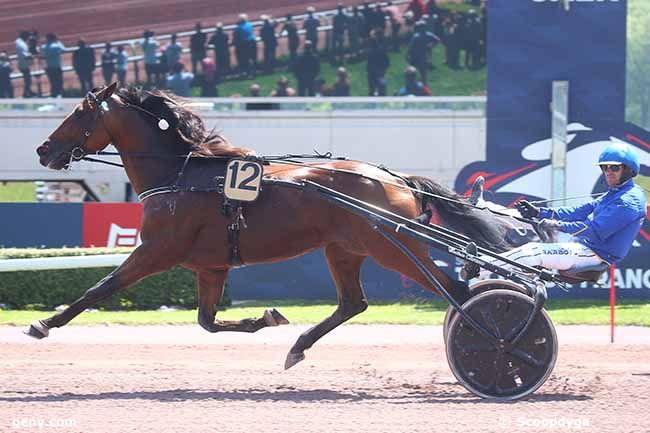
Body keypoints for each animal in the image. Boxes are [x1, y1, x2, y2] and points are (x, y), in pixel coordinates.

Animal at [34, 82, 520, 366]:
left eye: (78, 113)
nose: (43, 150)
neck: (181, 173)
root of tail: (396, 178)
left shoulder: (156, 251)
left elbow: (100, 288)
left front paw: (44, 324)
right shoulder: (211, 266)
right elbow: (207, 321)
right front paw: (265, 318)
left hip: (393, 248)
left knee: (457, 292)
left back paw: (498, 342)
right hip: (344, 249)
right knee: (353, 303)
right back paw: (299, 346)